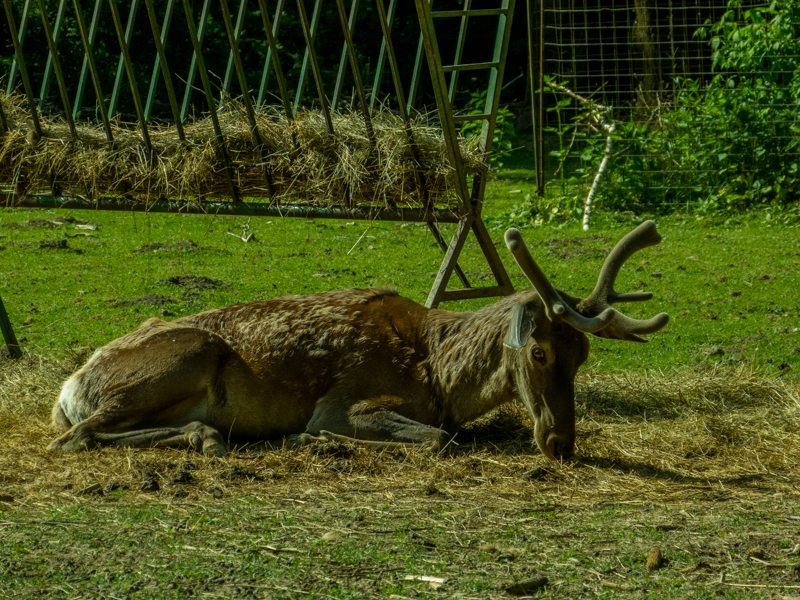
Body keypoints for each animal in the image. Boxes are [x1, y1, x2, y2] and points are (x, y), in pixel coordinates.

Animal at [48, 221, 668, 460]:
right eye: (539, 351)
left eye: (583, 356)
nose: (562, 443)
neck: (438, 376)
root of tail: (68, 386)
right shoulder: (344, 403)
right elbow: (440, 439)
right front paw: (311, 439)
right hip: (187, 354)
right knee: (72, 438)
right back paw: (213, 438)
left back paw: (206, 435)